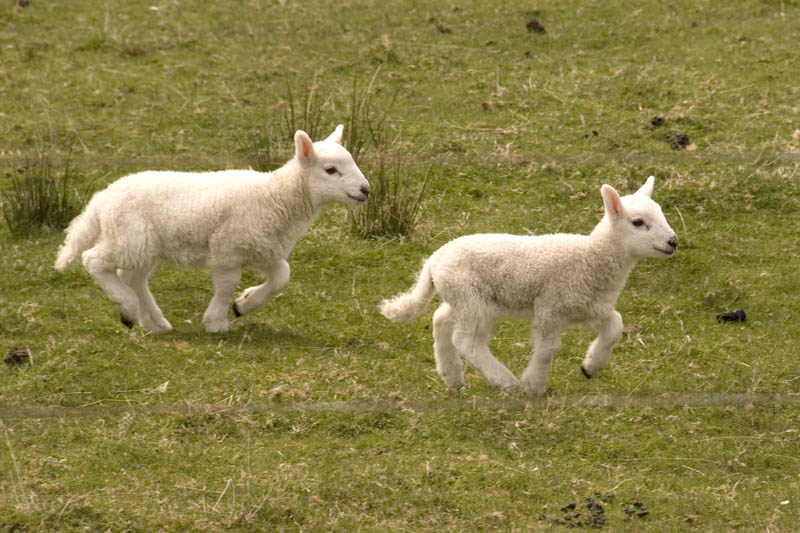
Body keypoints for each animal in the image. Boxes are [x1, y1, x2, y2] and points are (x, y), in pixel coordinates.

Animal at [54, 125, 370, 333]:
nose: (366, 190)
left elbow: (282, 277)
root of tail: (102, 198)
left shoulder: (263, 247)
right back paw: (129, 309)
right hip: (130, 239)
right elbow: (227, 284)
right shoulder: (227, 249)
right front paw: (217, 321)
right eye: (331, 170)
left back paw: (154, 322)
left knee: (132, 277)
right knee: (94, 261)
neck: (276, 196)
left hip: (141, 245)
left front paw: (244, 304)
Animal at [380, 176, 677, 396]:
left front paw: (591, 367)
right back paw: (504, 380)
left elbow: (615, 326)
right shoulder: (551, 307)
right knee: (467, 341)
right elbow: (548, 349)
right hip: (471, 299)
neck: (590, 258)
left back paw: (451, 376)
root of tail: (436, 258)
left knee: (441, 319)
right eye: (638, 222)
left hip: (463, 298)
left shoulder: (588, 306)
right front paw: (533, 385)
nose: (673, 241)